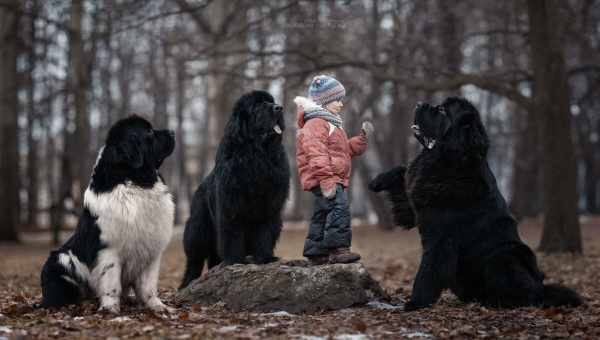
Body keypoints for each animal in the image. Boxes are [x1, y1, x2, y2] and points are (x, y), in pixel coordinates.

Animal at [39, 115, 176, 314]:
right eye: (149, 131)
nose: (173, 132)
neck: (135, 181)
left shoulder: (151, 250)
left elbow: (148, 285)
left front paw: (157, 306)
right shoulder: (109, 249)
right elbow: (111, 283)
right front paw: (110, 308)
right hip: (60, 259)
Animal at [178, 90, 290, 290]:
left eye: (271, 101)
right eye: (257, 105)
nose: (279, 108)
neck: (257, 155)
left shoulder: (269, 208)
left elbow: (265, 233)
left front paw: (265, 258)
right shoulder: (231, 208)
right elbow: (233, 236)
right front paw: (236, 261)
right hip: (197, 230)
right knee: (194, 260)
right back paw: (188, 282)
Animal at [368, 97, 584, 310]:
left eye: (442, 111)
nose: (419, 104)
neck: (447, 161)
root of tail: (540, 288)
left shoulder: (442, 240)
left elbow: (427, 270)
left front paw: (415, 303)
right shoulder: (417, 201)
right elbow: (404, 174)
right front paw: (378, 180)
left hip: (504, 257)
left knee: (525, 294)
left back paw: (496, 302)